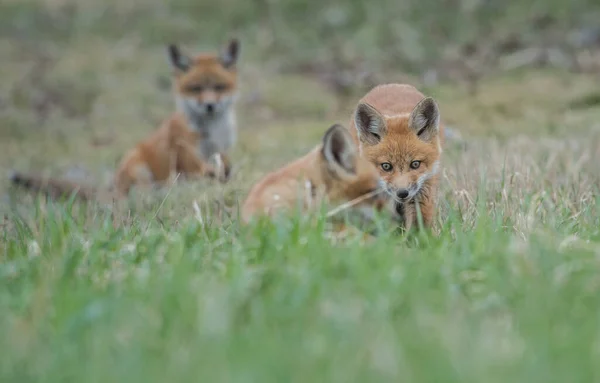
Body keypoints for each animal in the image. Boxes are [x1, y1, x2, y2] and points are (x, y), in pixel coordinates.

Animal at [8, 38, 239, 201]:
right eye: (195, 88)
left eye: (219, 87)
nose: (209, 106)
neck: (213, 130)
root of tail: (113, 185)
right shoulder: (184, 151)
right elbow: (201, 168)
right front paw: (214, 176)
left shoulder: (222, 148)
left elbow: (224, 164)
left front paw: (224, 175)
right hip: (138, 165)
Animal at [350, 84, 442, 231]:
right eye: (386, 166)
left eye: (415, 164)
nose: (402, 193)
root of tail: (393, 84)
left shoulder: (422, 193)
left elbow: (418, 227)